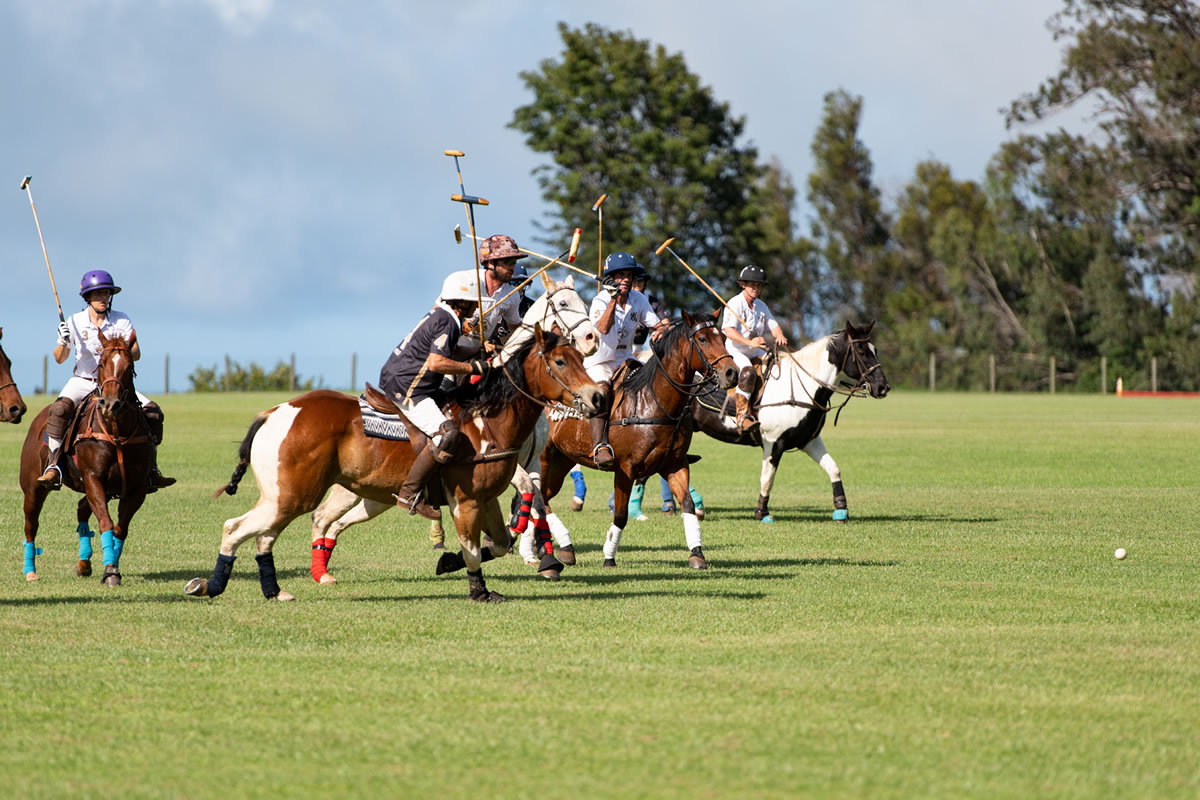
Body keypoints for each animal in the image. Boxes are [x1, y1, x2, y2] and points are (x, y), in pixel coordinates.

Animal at [18, 328, 153, 585]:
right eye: (101, 363)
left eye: (129, 365)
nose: (110, 404)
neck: (116, 431)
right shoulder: (93, 478)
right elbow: (106, 522)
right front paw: (110, 571)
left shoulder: (136, 488)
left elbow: (120, 529)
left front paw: (111, 566)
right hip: (33, 487)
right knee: (31, 524)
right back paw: (30, 571)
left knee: (81, 509)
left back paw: (84, 563)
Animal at [184, 323, 609, 599]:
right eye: (559, 361)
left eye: (578, 356)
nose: (597, 397)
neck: (487, 421)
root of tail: (274, 412)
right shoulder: (466, 501)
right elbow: (475, 548)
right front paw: (478, 590)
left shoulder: (486, 499)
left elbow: (501, 543)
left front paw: (450, 562)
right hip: (292, 495)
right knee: (237, 527)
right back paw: (212, 585)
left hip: (297, 495)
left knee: (268, 534)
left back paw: (274, 590)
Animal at [300, 278, 600, 585]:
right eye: (563, 303)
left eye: (582, 302)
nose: (592, 339)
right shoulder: (514, 466)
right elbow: (528, 493)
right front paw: (521, 536)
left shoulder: (533, 463)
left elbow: (538, 502)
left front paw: (547, 556)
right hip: (350, 489)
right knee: (321, 517)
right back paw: (322, 571)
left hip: (375, 497)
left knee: (336, 523)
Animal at [537, 311, 739, 568]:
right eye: (702, 339)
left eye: (722, 337)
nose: (732, 373)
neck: (655, 403)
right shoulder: (625, 468)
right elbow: (621, 515)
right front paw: (609, 557)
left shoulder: (675, 463)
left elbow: (688, 505)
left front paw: (697, 554)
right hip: (543, 458)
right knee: (539, 498)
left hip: (561, 460)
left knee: (543, 497)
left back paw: (559, 547)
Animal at [686, 319, 892, 525]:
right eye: (861, 352)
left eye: (875, 350)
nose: (883, 387)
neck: (805, 388)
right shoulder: (773, 442)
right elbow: (767, 479)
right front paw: (762, 513)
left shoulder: (809, 440)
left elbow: (834, 469)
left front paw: (841, 510)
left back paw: (697, 505)